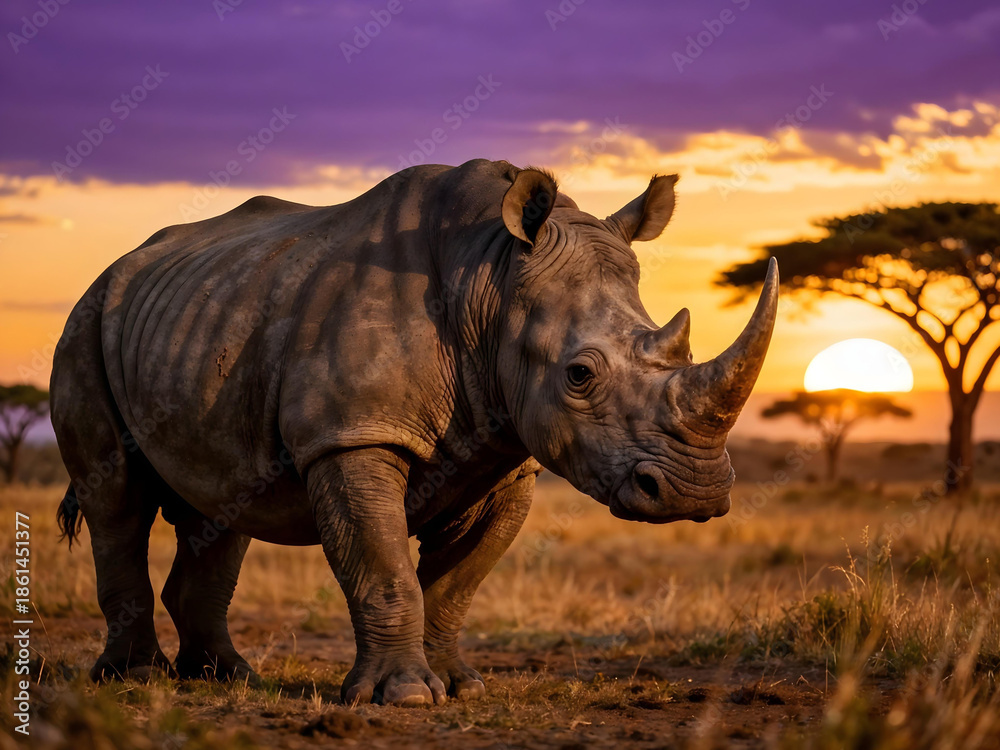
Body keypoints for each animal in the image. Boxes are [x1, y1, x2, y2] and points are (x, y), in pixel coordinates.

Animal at [51, 159, 777, 706]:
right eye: (579, 375)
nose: (694, 493)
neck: (491, 277)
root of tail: (121, 265)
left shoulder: (506, 453)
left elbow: (455, 584)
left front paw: (460, 688)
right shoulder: (352, 434)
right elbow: (383, 567)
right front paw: (402, 698)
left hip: (201, 322)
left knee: (223, 502)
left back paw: (226, 678)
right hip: (85, 321)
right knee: (116, 497)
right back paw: (135, 678)